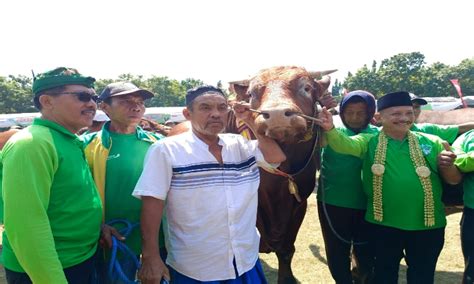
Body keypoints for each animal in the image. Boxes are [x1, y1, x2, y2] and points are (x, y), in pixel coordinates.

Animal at [228, 65, 332, 282]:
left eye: (306, 87)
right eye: (251, 93)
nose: (276, 115)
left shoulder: (298, 204)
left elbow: (286, 249)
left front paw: (286, 278)